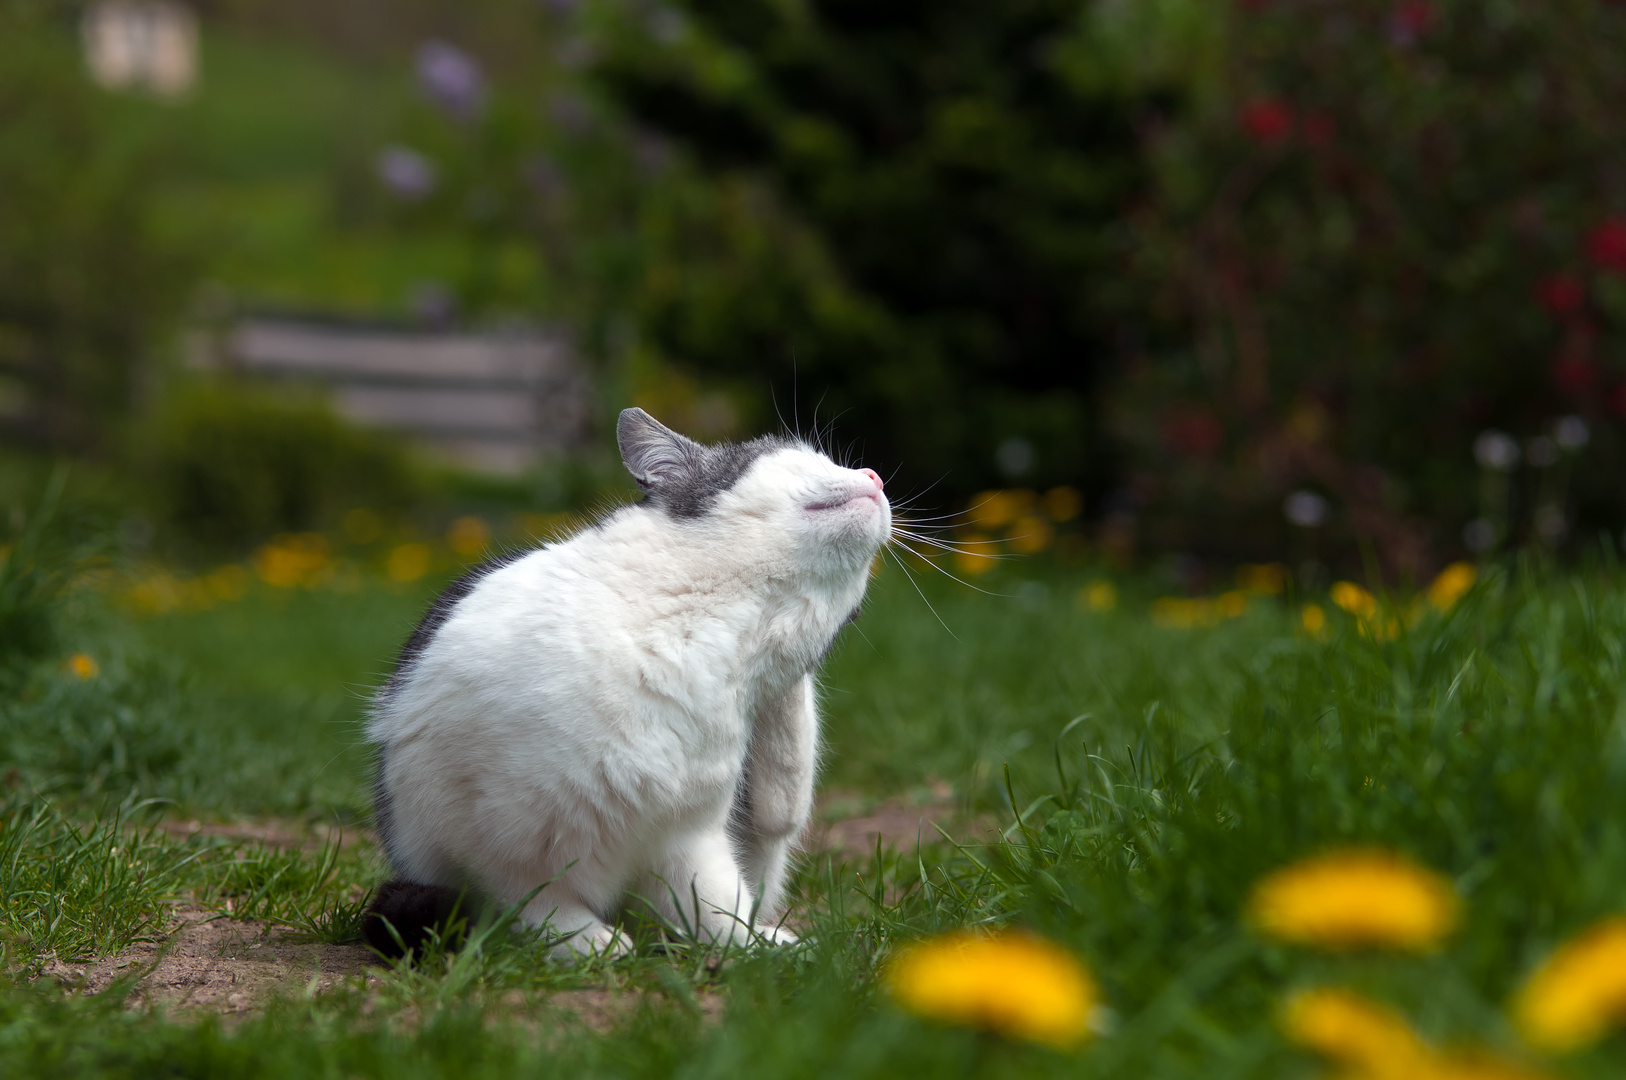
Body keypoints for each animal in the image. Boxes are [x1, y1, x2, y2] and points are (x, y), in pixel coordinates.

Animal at [362, 405, 891, 956]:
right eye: (809, 459)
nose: (876, 476)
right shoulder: (489, 835)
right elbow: (534, 898)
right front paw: (585, 942)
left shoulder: (691, 837)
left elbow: (719, 909)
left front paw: (760, 950)